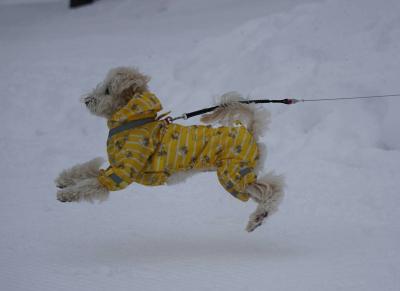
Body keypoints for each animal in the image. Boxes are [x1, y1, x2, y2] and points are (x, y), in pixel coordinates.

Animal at [56, 66, 284, 233]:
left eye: (107, 91)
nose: (87, 100)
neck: (133, 120)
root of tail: (250, 131)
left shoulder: (122, 172)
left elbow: (91, 184)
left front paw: (67, 194)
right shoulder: (114, 166)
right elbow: (87, 170)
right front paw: (64, 180)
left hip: (234, 174)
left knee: (272, 188)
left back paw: (259, 216)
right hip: (238, 177)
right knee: (268, 190)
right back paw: (260, 216)